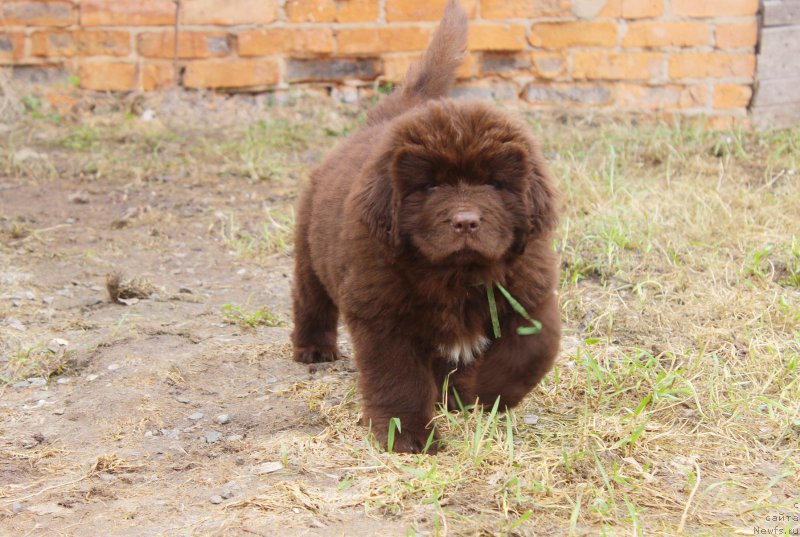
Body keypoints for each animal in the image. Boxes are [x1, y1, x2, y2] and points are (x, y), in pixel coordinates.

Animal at [290, 0, 560, 452]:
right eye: (431, 185)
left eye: (494, 183)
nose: (466, 221)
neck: (455, 274)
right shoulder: (382, 316)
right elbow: (398, 378)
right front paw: (409, 437)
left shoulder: (529, 290)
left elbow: (531, 349)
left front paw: (485, 393)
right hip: (310, 250)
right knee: (310, 298)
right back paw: (312, 348)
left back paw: (455, 395)